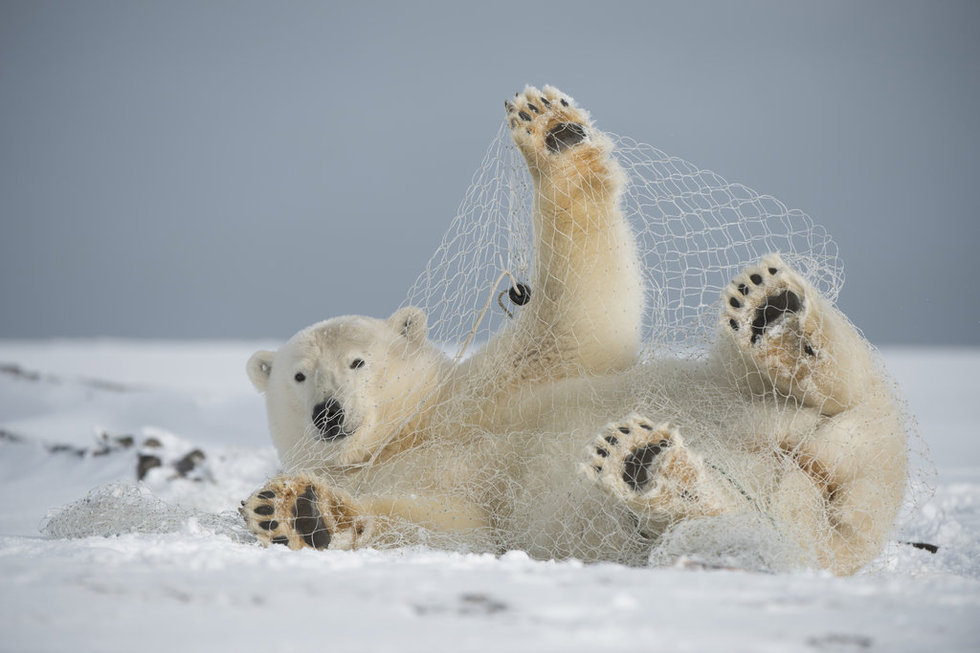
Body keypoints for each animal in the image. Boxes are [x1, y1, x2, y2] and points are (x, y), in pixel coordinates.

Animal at [241, 85, 908, 572]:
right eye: (299, 376)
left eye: (358, 361)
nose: (329, 413)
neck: (406, 434)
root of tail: (836, 514)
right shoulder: (429, 485)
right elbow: (445, 526)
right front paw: (301, 512)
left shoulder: (486, 391)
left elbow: (578, 315)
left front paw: (551, 131)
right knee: (690, 525)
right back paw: (649, 467)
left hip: (767, 409)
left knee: (843, 395)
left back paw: (775, 317)